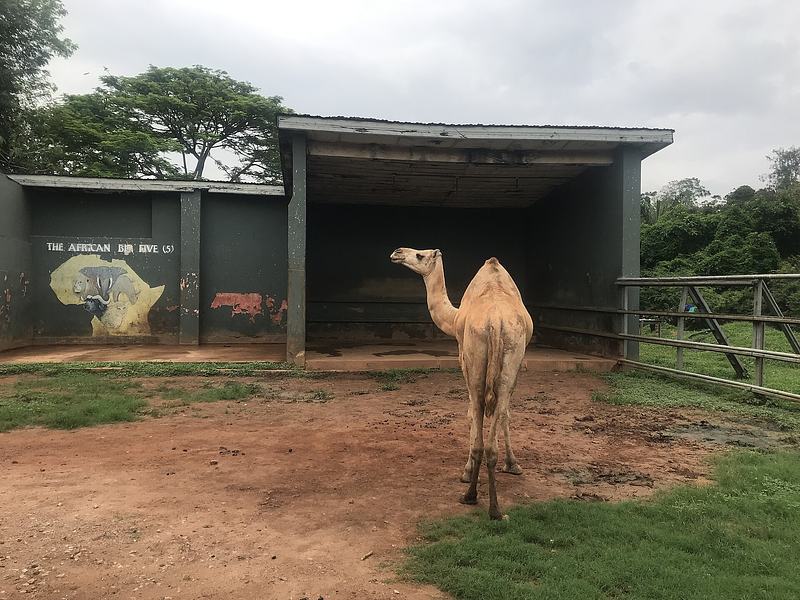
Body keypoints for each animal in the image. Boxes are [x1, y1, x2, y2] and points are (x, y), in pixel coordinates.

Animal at [390, 248, 534, 519]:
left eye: (420, 255)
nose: (397, 252)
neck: (454, 316)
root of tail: (495, 320)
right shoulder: (518, 366)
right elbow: (506, 415)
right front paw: (514, 465)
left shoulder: (462, 357)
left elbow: (469, 416)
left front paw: (467, 471)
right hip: (510, 356)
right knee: (495, 425)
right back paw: (495, 510)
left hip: (475, 358)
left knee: (476, 415)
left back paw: (470, 494)